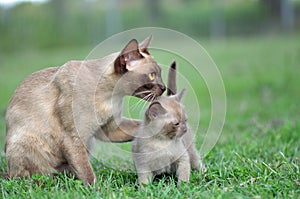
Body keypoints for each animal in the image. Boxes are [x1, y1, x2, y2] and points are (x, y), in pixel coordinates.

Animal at [4, 35, 165, 185]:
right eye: (152, 75)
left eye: (160, 74)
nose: (164, 88)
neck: (110, 97)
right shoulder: (74, 137)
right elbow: (87, 173)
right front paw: (97, 190)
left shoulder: (111, 129)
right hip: (30, 144)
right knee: (38, 178)